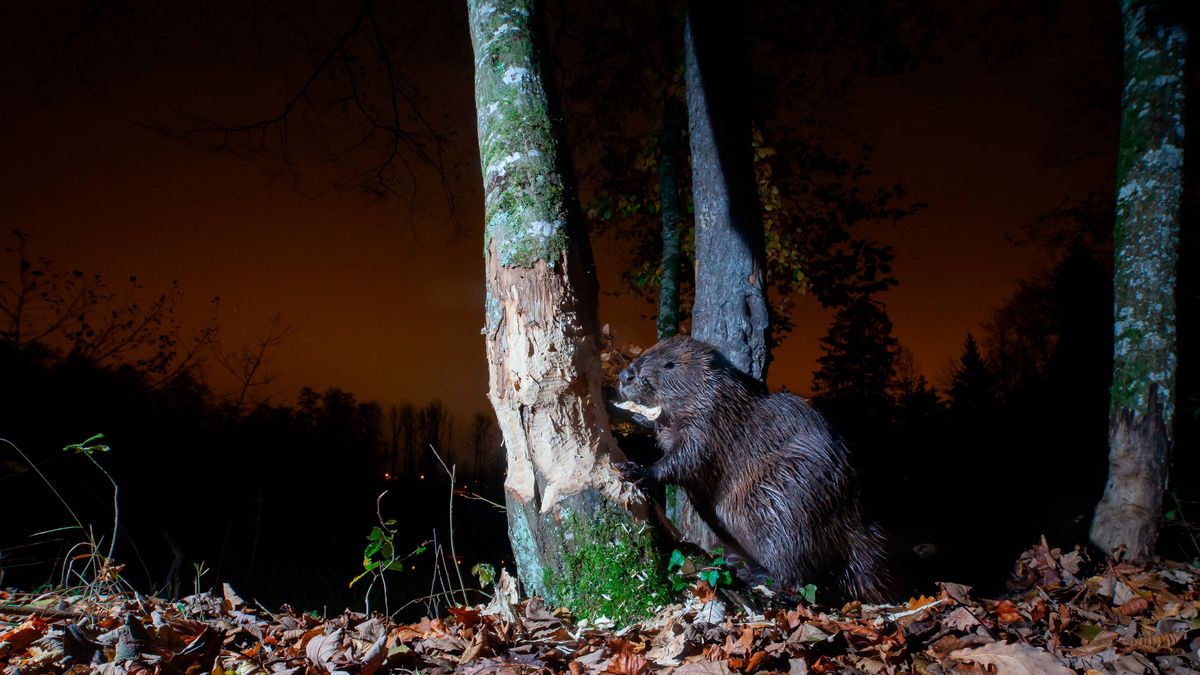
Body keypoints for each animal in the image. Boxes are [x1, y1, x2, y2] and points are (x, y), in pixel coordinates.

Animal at [619, 333, 892, 600]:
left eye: (670, 364)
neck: (720, 393)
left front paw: (636, 470)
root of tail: (854, 527)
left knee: (794, 577)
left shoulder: (713, 422)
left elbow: (687, 459)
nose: (625, 376)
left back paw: (751, 573)